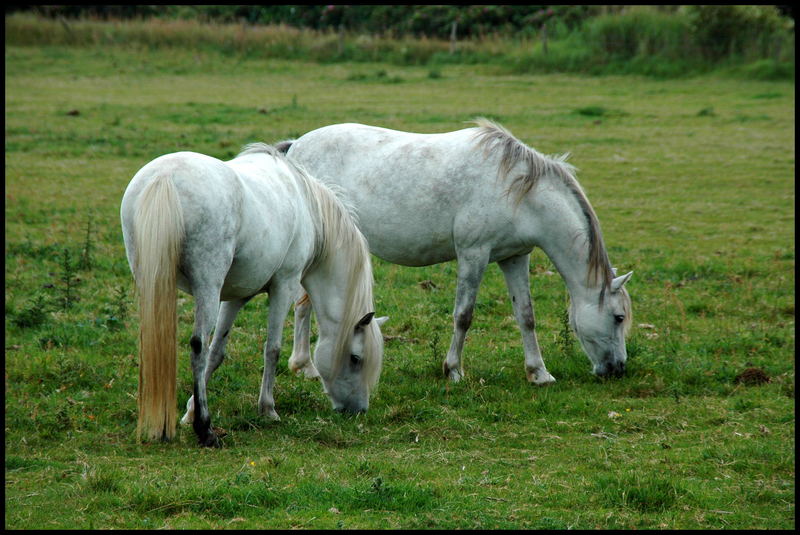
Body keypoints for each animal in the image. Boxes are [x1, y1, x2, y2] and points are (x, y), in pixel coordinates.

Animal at [120, 142, 390, 448]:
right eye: (356, 359)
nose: (359, 410)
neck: (308, 207)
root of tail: (164, 177)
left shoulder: (236, 297)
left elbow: (217, 353)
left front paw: (188, 412)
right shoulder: (284, 286)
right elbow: (271, 349)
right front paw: (267, 409)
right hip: (207, 288)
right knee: (198, 346)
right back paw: (206, 430)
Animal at [280, 118, 632, 386]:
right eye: (618, 317)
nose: (618, 369)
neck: (519, 192)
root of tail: (296, 147)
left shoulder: (514, 257)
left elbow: (526, 315)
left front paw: (538, 373)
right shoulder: (473, 254)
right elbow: (463, 315)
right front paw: (453, 370)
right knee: (303, 305)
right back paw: (306, 367)